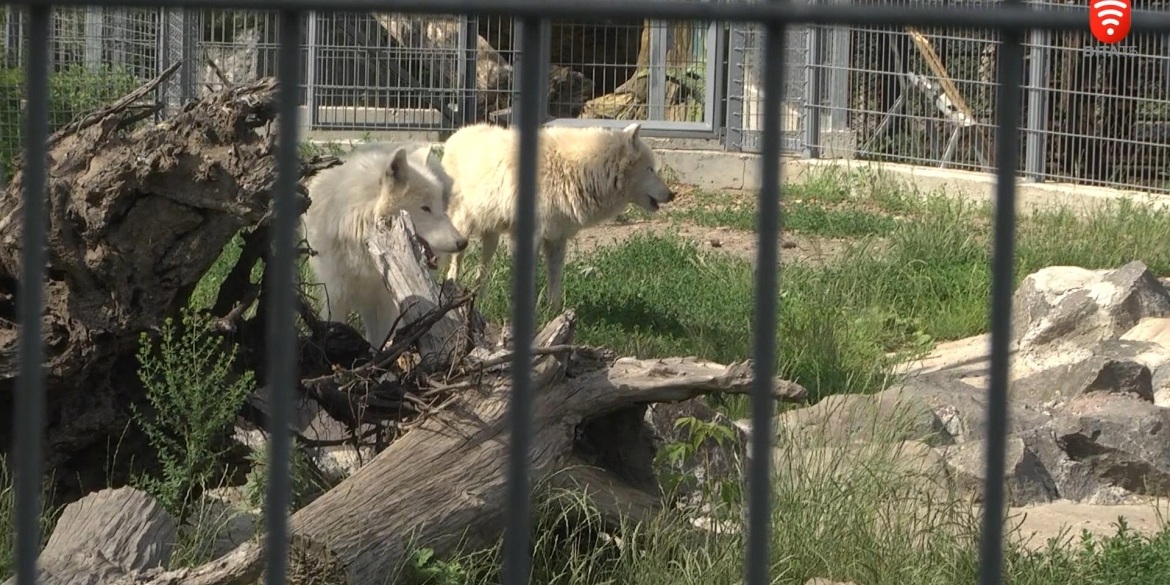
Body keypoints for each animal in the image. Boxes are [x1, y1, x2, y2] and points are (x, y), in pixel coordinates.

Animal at [304, 144, 467, 348]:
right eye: (425, 208)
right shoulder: (335, 295)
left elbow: (379, 339)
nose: (463, 242)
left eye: (439, 207)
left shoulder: (385, 302)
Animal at [439, 121, 678, 313]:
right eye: (650, 169)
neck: (576, 171)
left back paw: (480, 300)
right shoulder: (530, 238)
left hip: (492, 236)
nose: (672, 195)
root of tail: (454, 136)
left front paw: (553, 313)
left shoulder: (557, 238)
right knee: (455, 264)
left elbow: (555, 280)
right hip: (463, 228)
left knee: (482, 269)